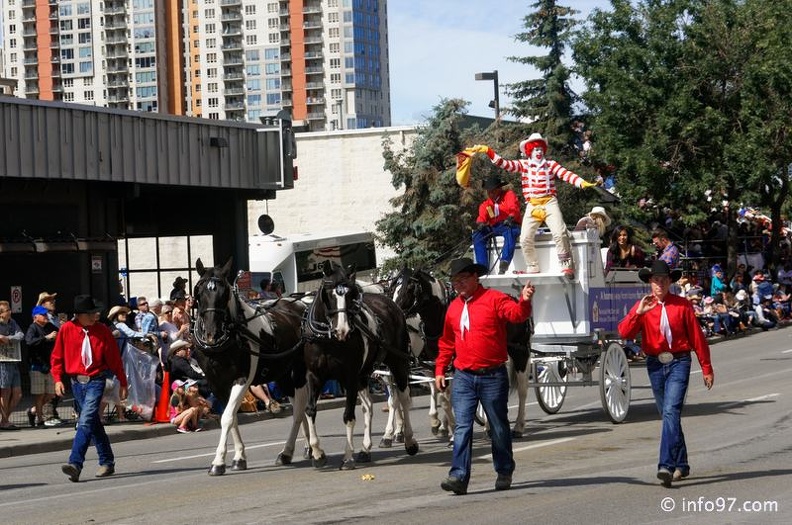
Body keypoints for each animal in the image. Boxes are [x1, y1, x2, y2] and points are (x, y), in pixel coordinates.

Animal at [193, 258, 310, 474]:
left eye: (225, 292)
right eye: (199, 290)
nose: (211, 333)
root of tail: (300, 305)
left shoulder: (242, 379)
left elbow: (227, 417)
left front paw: (218, 462)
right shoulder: (217, 384)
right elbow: (232, 417)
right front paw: (239, 457)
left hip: (299, 372)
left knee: (301, 409)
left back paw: (298, 449)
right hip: (283, 376)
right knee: (300, 408)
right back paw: (299, 449)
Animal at [300, 260, 418, 468]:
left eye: (351, 294)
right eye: (329, 293)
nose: (343, 330)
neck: (327, 339)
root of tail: (389, 302)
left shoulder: (349, 377)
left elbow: (348, 416)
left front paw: (347, 457)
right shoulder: (314, 376)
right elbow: (310, 410)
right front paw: (317, 453)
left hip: (397, 362)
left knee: (403, 398)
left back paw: (409, 441)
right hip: (364, 375)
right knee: (368, 406)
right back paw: (365, 449)